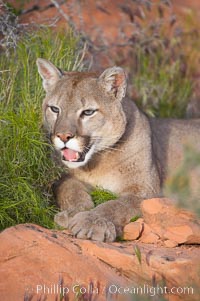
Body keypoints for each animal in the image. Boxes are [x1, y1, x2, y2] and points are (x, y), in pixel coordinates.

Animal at [36, 58, 200, 241]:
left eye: (88, 112)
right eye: (55, 109)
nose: (63, 136)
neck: (95, 164)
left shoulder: (145, 192)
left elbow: (117, 205)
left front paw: (92, 222)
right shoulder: (63, 177)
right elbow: (71, 191)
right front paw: (73, 213)